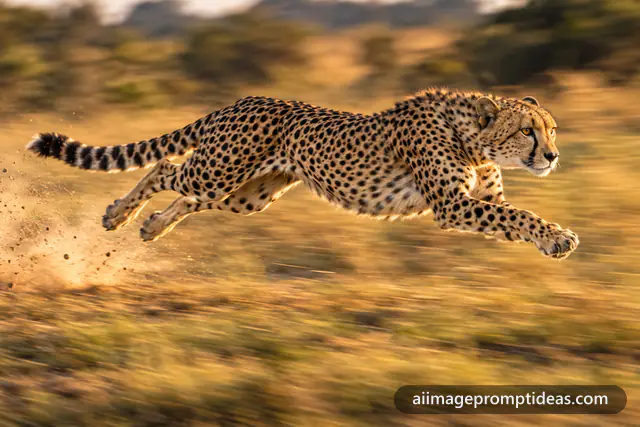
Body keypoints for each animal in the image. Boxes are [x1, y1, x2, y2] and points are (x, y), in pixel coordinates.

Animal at [26, 88, 579, 259]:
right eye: (529, 131)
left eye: (552, 129)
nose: (552, 157)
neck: (475, 138)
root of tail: (242, 100)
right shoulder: (452, 205)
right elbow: (521, 216)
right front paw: (557, 238)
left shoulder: (480, 201)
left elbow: (514, 214)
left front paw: (552, 235)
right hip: (219, 171)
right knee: (165, 168)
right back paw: (117, 216)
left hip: (246, 192)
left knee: (187, 195)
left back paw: (152, 227)